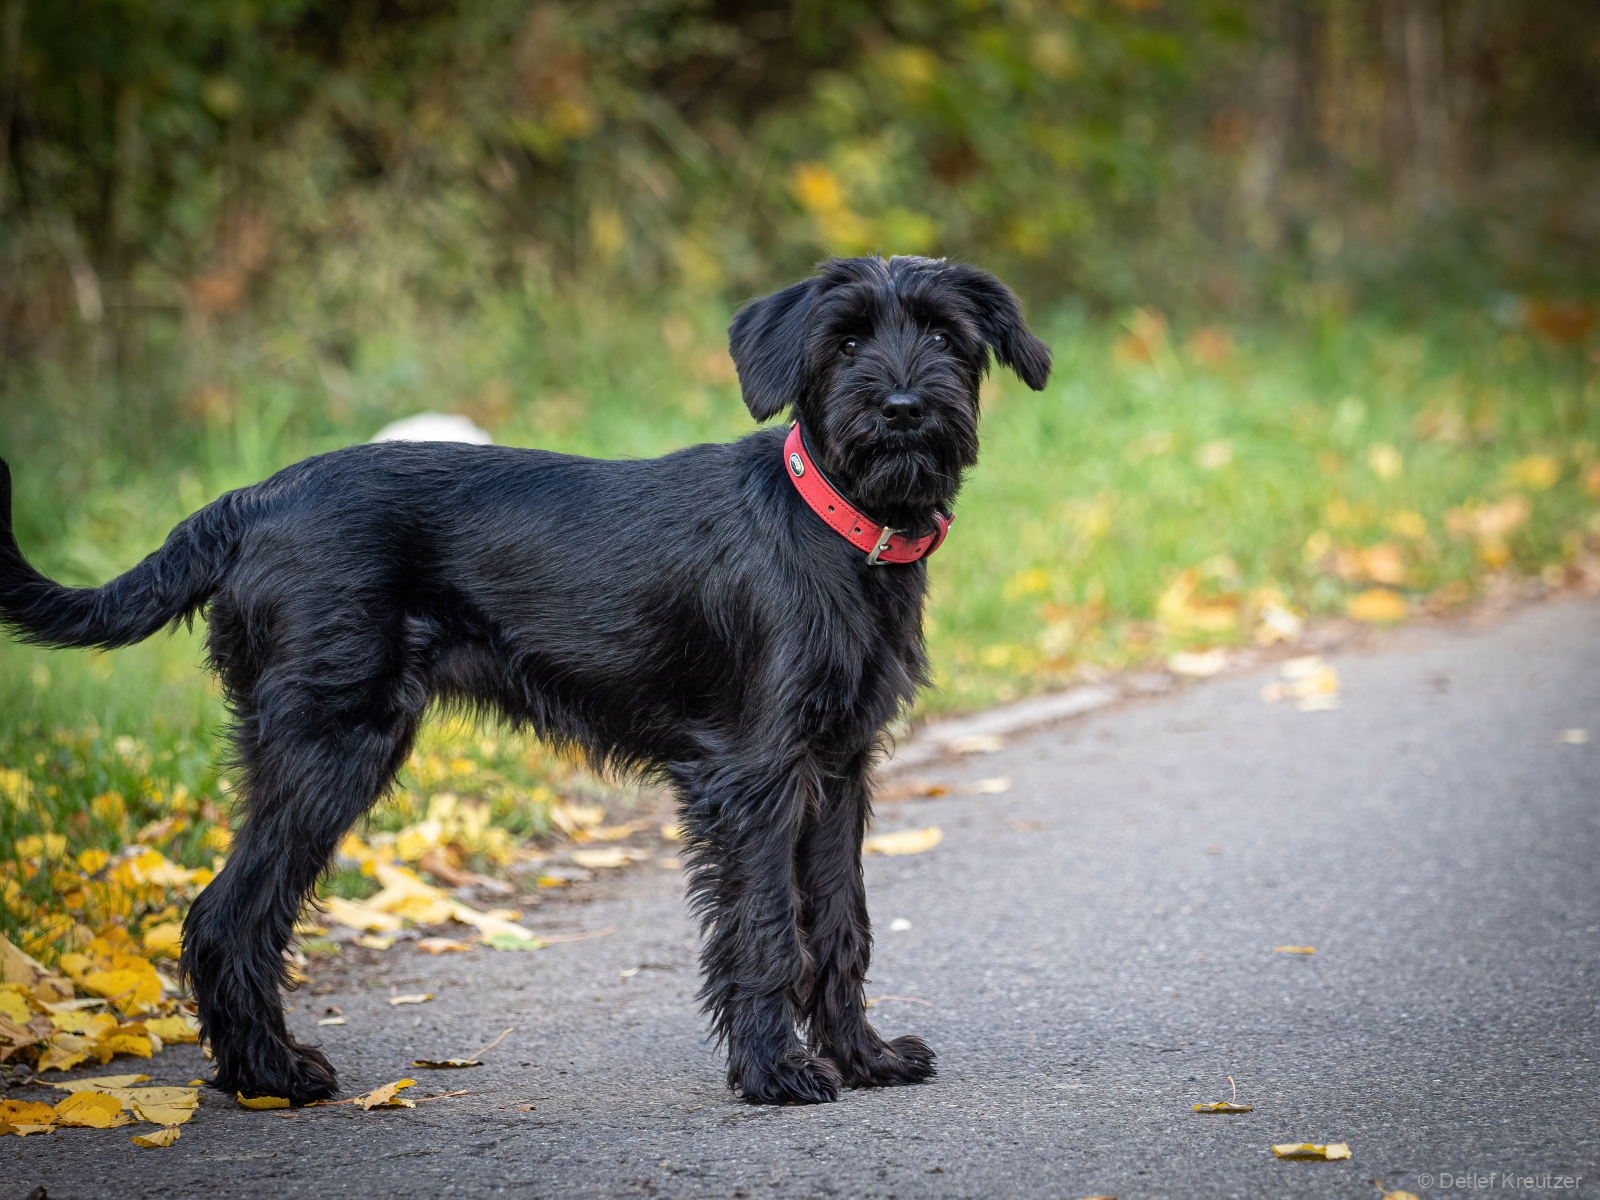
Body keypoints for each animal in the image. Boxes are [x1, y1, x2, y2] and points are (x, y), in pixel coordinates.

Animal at [0, 254, 1050, 1105]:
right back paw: (272, 1076)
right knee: (228, 916)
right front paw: (775, 1074)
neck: (841, 530)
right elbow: (764, 928)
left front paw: (863, 1060)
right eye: (846, 341)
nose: (904, 408)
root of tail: (249, 503)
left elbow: (839, 922)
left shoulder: (836, 769)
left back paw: (253, 1071)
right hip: (332, 745)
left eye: (946, 337)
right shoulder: (754, 777)